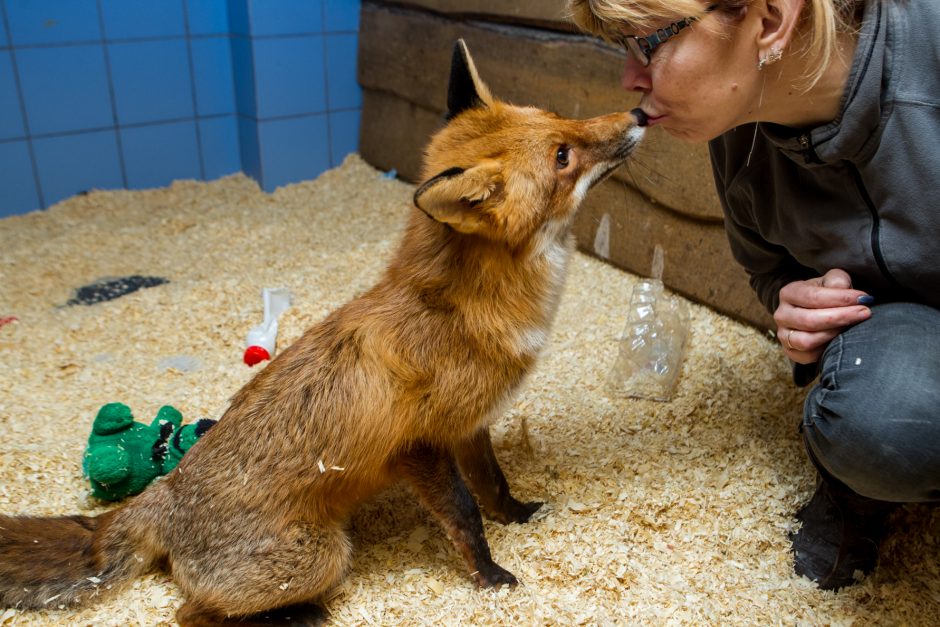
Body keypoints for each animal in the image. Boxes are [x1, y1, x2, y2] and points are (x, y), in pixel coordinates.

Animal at [0, 40, 644, 627]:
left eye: (558, 117)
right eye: (562, 154)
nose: (638, 114)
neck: (463, 308)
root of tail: (161, 494)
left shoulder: (469, 427)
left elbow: (493, 486)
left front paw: (519, 514)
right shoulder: (420, 447)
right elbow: (465, 516)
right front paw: (487, 575)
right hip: (322, 556)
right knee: (191, 614)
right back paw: (300, 615)